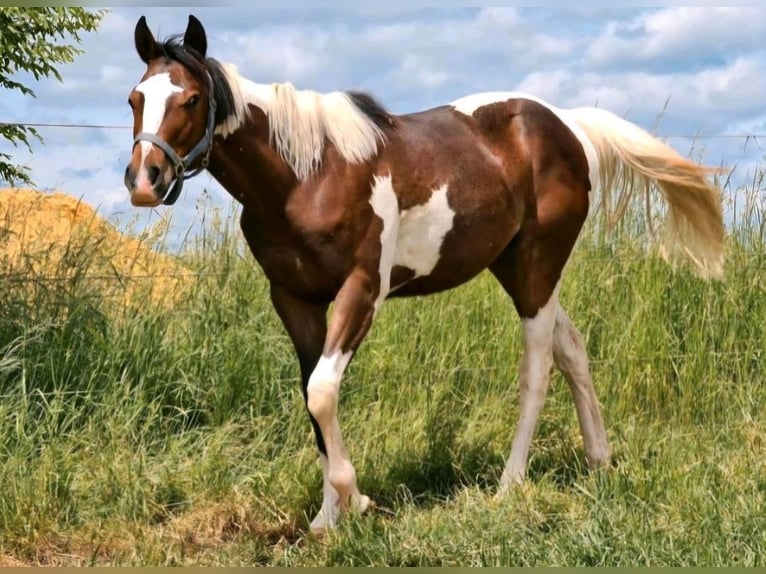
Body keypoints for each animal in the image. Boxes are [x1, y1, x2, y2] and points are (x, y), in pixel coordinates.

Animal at [124, 15, 725, 533]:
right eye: (135, 98)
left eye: (191, 99)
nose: (144, 181)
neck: (304, 175)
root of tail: (569, 126)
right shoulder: (294, 300)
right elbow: (313, 398)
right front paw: (326, 520)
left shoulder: (362, 291)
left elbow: (323, 393)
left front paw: (358, 500)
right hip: (517, 267)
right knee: (572, 349)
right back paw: (599, 460)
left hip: (539, 263)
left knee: (537, 369)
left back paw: (509, 484)